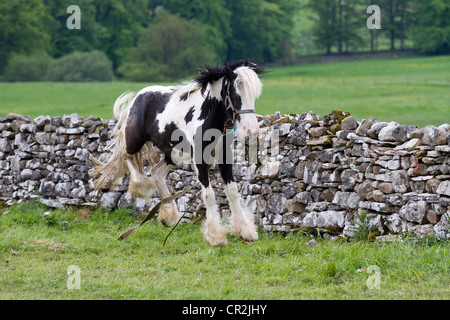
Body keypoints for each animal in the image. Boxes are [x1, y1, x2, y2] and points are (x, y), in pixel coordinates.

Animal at [92, 60, 266, 246]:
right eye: (236, 95)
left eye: (254, 96)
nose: (252, 131)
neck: (209, 116)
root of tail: (138, 97)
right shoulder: (200, 159)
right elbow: (209, 195)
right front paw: (215, 236)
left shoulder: (224, 156)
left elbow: (232, 191)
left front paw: (245, 231)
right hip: (134, 141)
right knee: (125, 157)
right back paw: (140, 187)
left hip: (173, 154)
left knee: (156, 172)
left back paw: (168, 216)